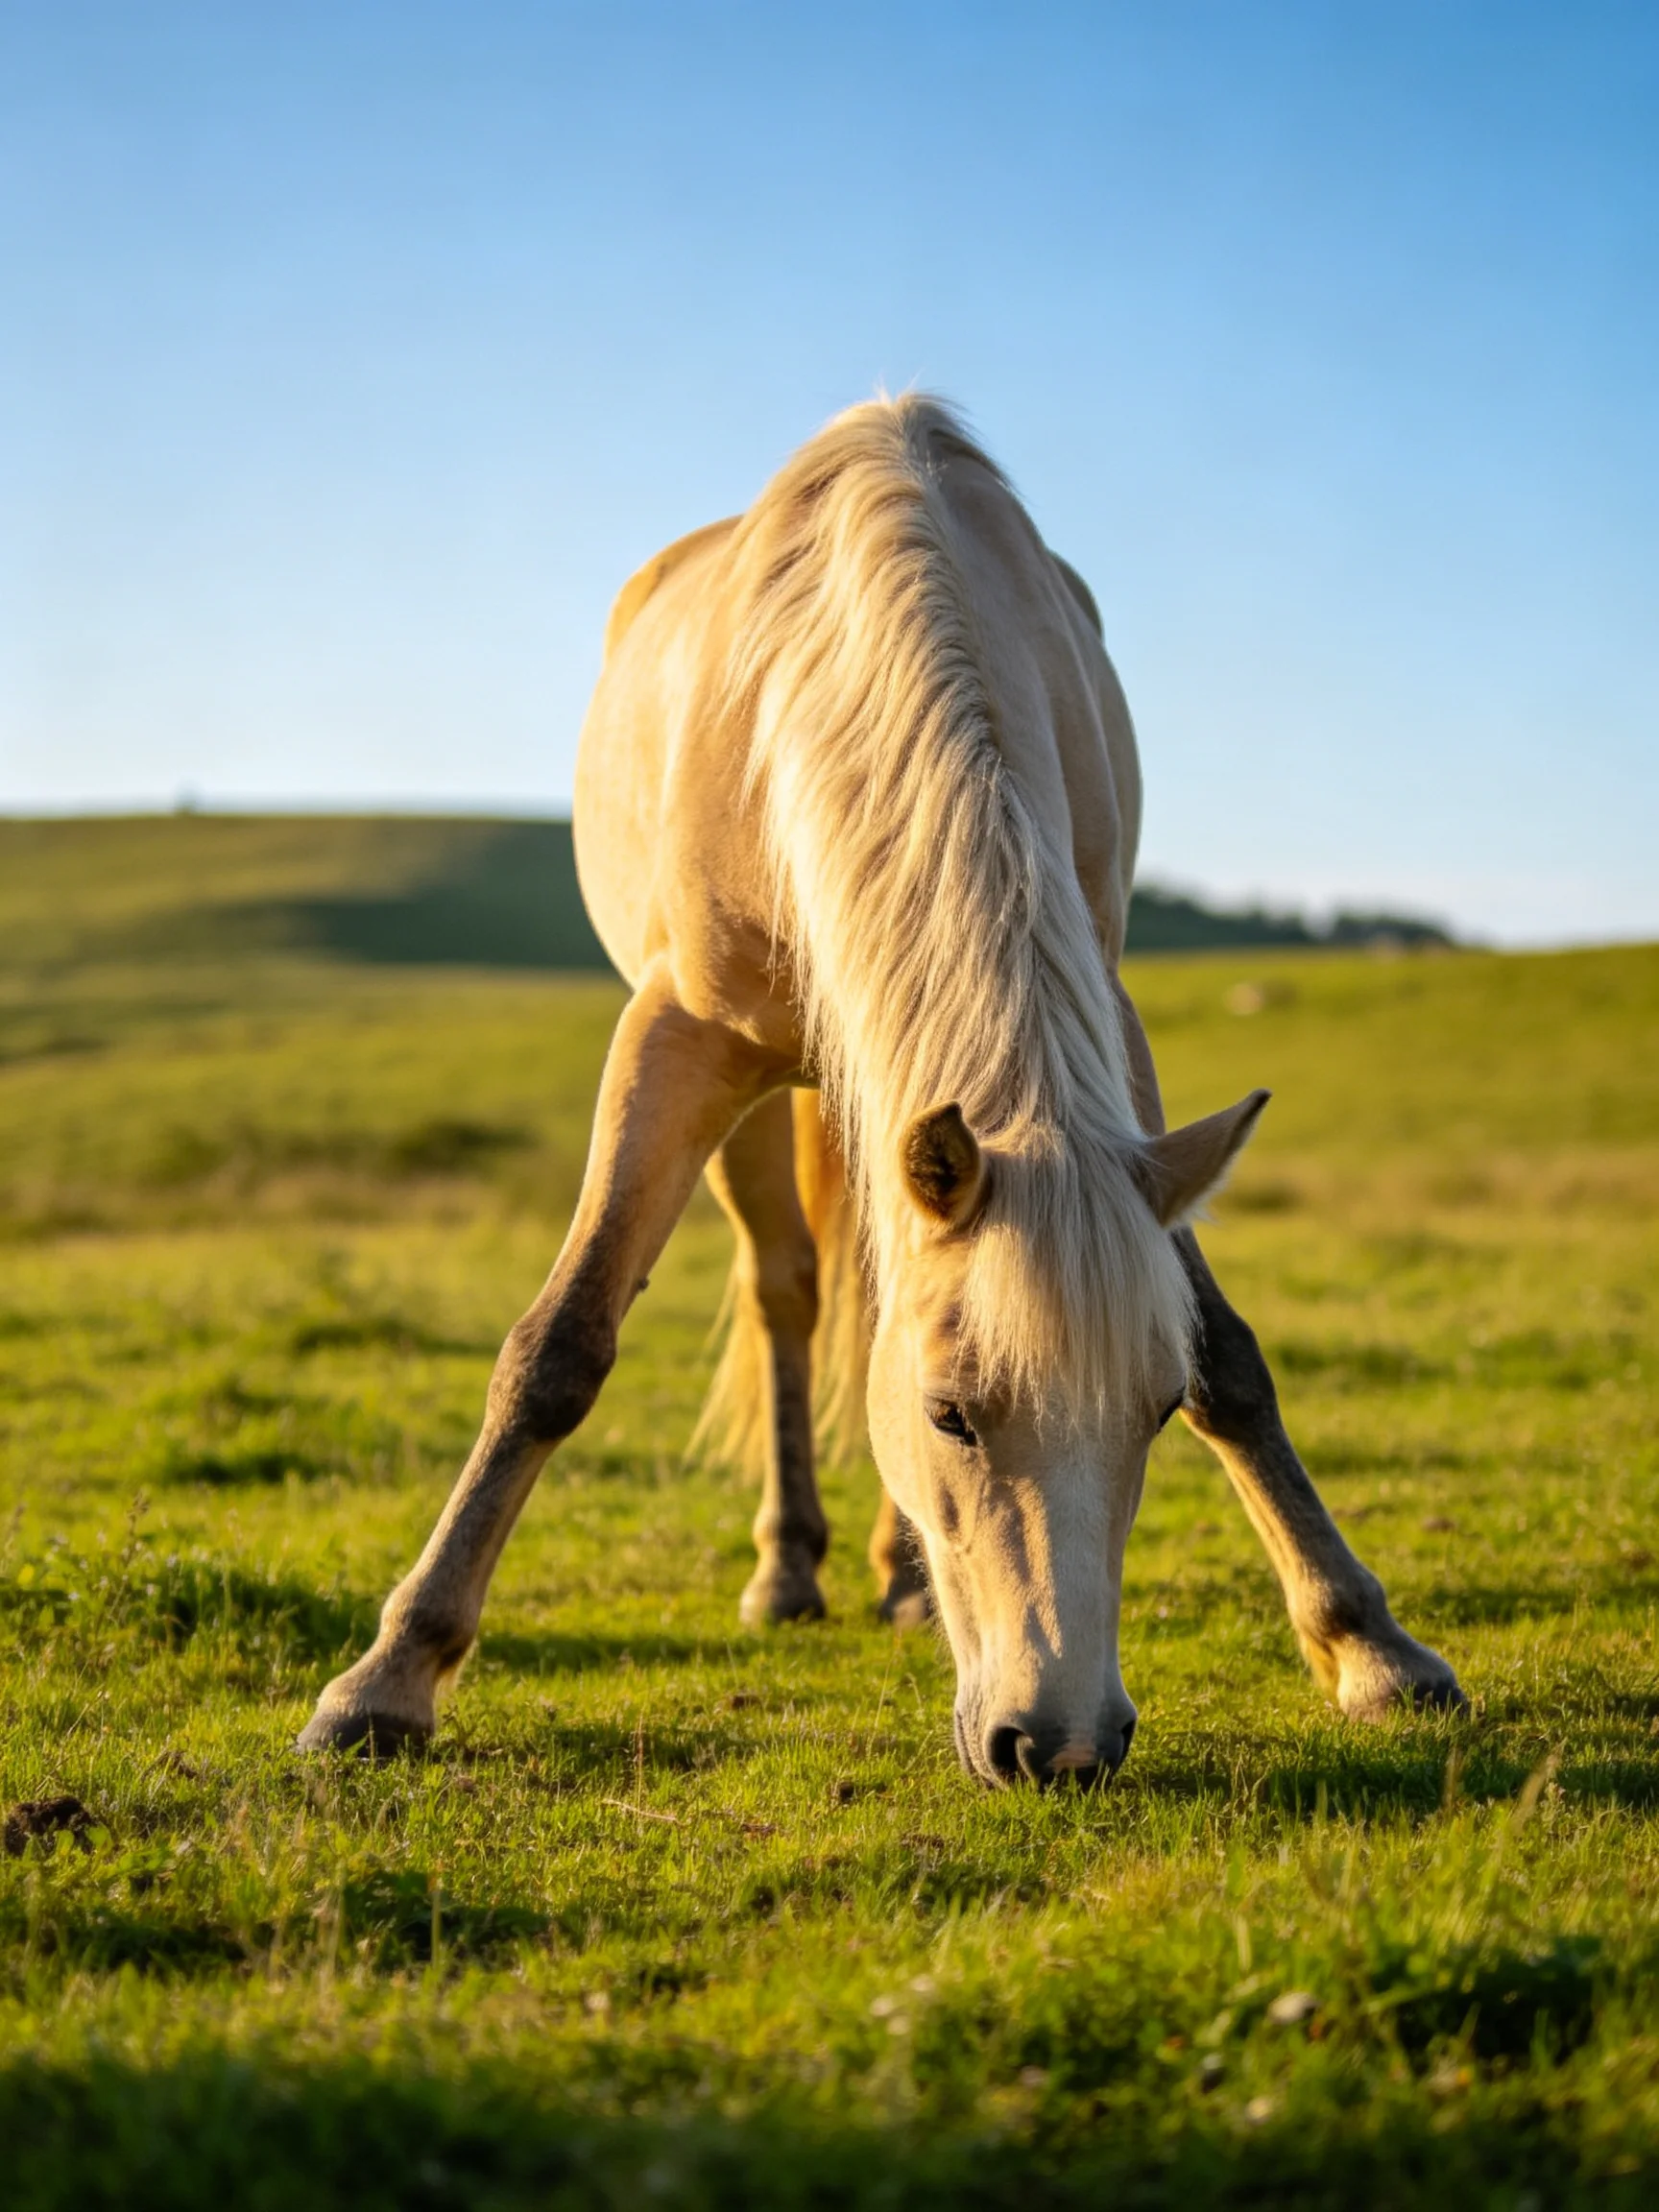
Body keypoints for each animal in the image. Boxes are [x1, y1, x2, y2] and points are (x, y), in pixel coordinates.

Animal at [299, 396, 1463, 1785]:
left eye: (1151, 1409)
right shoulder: (675, 1037)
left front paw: (1373, 1648)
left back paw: (896, 1577)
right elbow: (559, 1347)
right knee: (788, 1293)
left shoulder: (1112, 1040)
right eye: (950, 1415)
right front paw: (387, 1679)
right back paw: (788, 1571)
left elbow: (1230, 1356)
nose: (1061, 1746)